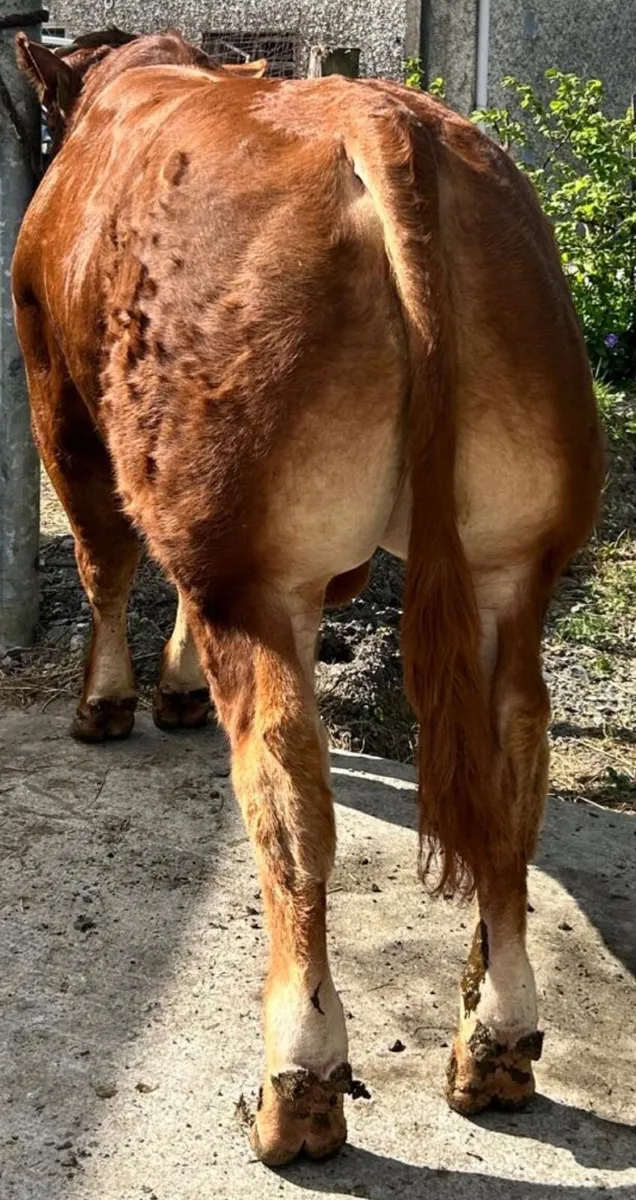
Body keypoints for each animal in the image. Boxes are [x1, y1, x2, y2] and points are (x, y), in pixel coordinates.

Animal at [12, 29, 603, 1167]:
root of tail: (384, 115)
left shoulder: (58, 395)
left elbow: (106, 561)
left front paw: (106, 704)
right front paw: (176, 691)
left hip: (252, 554)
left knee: (289, 792)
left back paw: (301, 1084)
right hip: (514, 559)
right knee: (514, 765)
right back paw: (495, 1040)